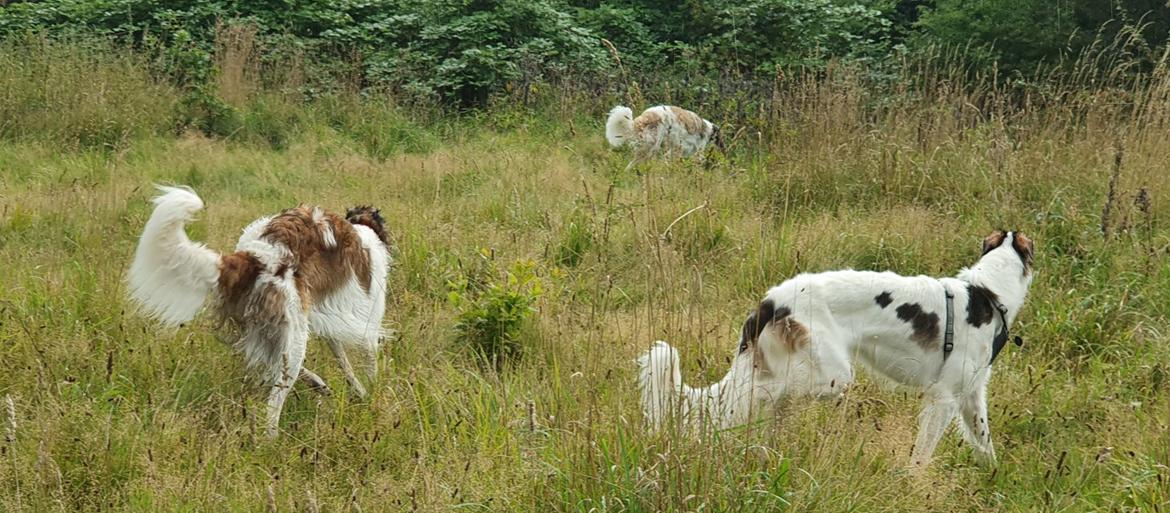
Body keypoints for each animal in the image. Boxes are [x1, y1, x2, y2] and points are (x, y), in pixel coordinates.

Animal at [641, 231, 1034, 468]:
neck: (987, 293)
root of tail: (771, 300)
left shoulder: (971, 396)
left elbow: (985, 443)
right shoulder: (944, 398)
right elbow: (921, 456)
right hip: (832, 376)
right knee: (767, 395)